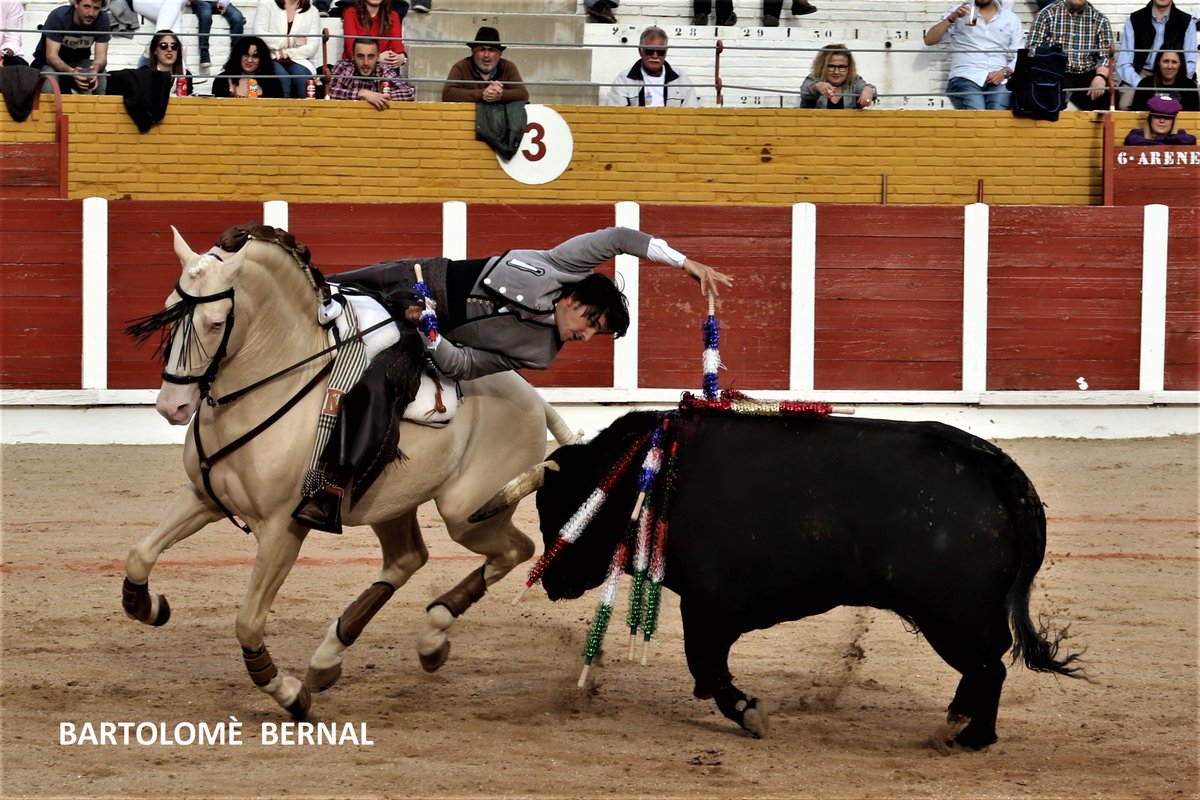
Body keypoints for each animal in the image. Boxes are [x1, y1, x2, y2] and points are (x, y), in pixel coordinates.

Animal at [124, 225, 573, 719]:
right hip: (392, 502)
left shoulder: (282, 529)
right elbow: (139, 555)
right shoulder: (204, 494)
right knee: (408, 558)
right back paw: (335, 657)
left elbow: (247, 622)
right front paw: (150, 606)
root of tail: (536, 400)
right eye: (170, 309)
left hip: (467, 513)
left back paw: (430, 636)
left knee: (516, 548)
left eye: (216, 323)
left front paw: (288, 693)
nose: (172, 406)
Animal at [520, 410, 1084, 748]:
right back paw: (960, 718)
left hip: (953, 616)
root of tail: (997, 468)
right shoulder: (710, 611)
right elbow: (706, 671)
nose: (551, 581)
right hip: (959, 618)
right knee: (987, 665)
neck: (653, 476)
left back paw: (971, 736)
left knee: (991, 667)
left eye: (560, 505)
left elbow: (706, 669)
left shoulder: (707, 606)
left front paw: (748, 711)